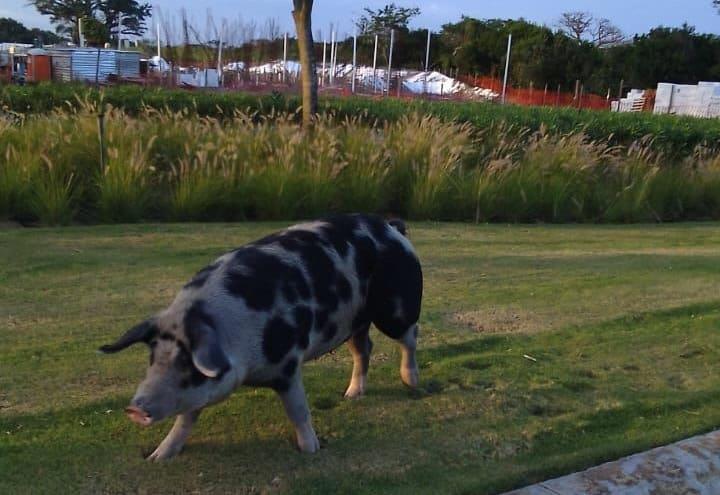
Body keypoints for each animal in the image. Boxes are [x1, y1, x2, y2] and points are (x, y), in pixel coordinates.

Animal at [98, 215, 420, 464]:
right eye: (152, 358)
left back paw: (412, 385)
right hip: (354, 323)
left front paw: (311, 450)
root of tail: (391, 227)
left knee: (409, 337)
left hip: (397, 308)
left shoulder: (288, 363)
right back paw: (351, 395)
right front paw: (157, 457)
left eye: (186, 365)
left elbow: (298, 410)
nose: (134, 408)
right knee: (364, 348)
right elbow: (185, 419)